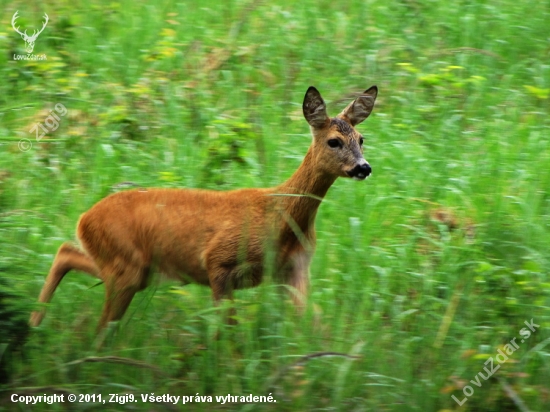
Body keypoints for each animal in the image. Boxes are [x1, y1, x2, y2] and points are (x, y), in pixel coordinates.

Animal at [30, 86, 380, 332]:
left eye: (362, 138)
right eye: (334, 141)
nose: (363, 168)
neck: (281, 217)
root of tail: (84, 218)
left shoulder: (293, 270)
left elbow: (314, 323)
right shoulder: (218, 262)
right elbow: (229, 330)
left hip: (130, 267)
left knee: (66, 252)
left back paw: (35, 323)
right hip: (125, 268)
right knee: (101, 321)